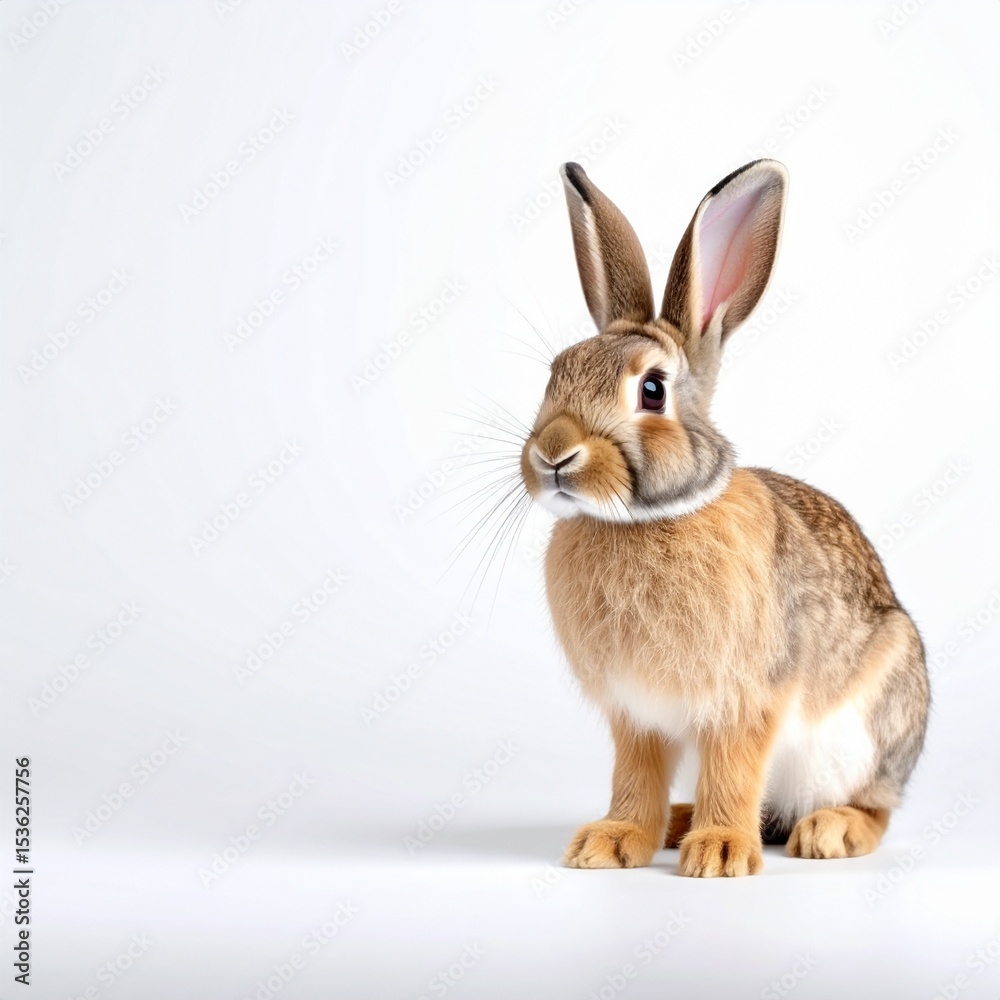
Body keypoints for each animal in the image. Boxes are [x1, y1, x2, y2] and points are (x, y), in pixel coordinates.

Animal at [518, 160, 930, 876]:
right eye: (555, 373)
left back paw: (826, 832)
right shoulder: (638, 716)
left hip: (869, 730)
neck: (640, 521)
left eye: (652, 390)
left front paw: (720, 854)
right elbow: (635, 778)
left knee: (870, 807)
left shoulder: (746, 701)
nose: (552, 454)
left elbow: (734, 771)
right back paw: (678, 824)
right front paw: (612, 841)